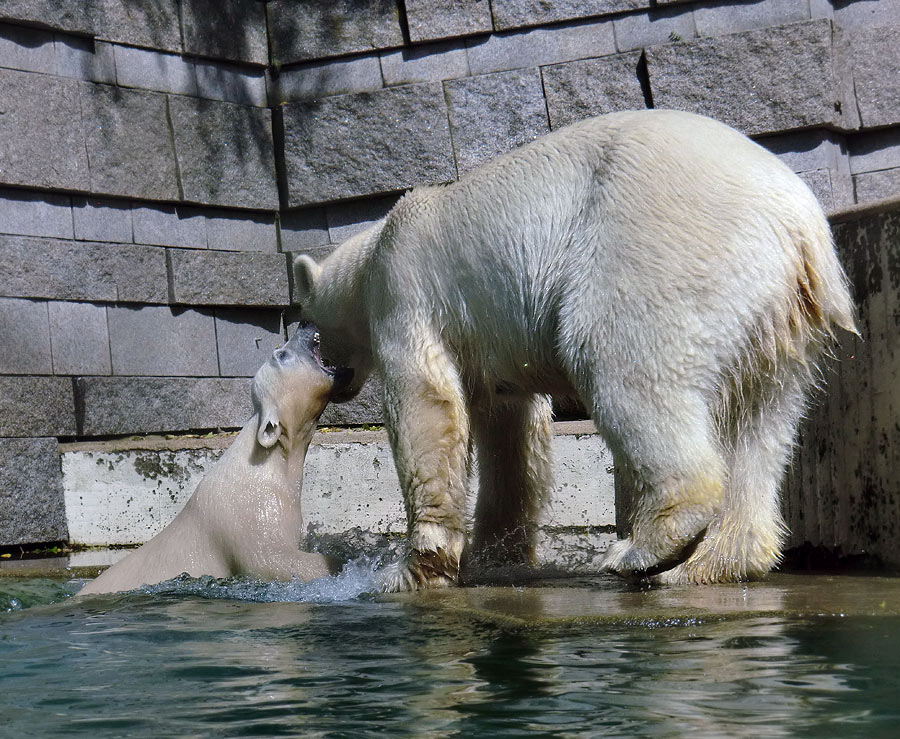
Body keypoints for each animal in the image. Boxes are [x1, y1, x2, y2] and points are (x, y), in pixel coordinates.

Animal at [292, 108, 856, 588]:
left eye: (312, 330)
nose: (335, 384)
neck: (373, 252)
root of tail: (799, 225)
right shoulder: (490, 351)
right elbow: (512, 433)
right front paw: (495, 557)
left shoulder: (404, 291)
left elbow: (425, 404)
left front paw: (410, 570)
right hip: (779, 325)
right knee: (759, 420)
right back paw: (712, 562)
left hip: (661, 251)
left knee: (623, 367)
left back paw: (641, 549)